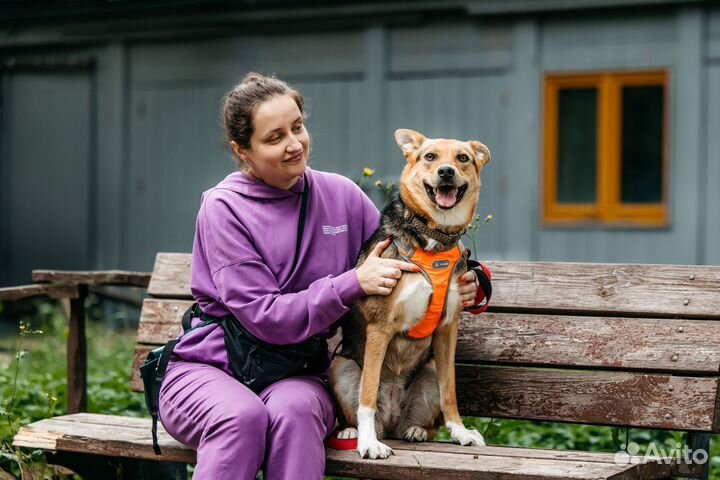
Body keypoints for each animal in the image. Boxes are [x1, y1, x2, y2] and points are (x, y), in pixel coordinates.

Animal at [330, 129, 492, 460]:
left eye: (463, 158)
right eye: (430, 156)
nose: (446, 172)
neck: (433, 241)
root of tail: (391, 422)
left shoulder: (447, 330)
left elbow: (449, 393)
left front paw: (460, 432)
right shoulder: (380, 328)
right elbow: (367, 397)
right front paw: (368, 444)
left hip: (429, 369)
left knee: (426, 419)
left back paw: (416, 430)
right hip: (340, 365)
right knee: (358, 407)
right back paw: (354, 432)